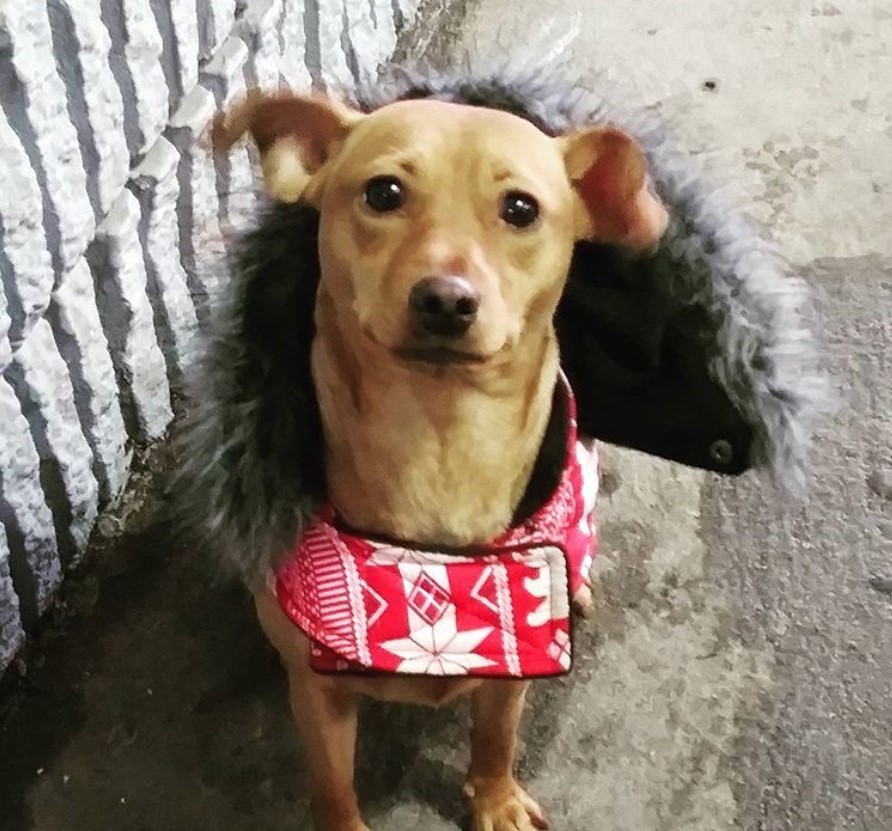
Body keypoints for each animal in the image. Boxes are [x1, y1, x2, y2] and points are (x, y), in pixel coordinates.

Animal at [209, 91, 664, 831]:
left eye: (521, 209)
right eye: (383, 193)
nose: (446, 299)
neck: (440, 439)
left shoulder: (515, 669)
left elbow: (495, 736)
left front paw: (496, 799)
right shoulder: (317, 691)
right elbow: (333, 786)